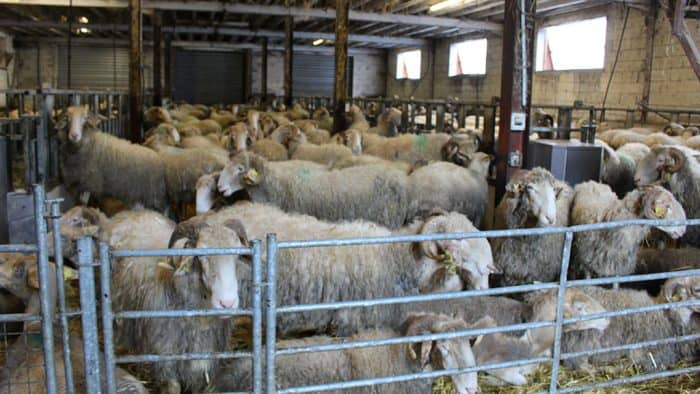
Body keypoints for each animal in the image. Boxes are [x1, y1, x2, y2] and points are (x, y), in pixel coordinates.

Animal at [112, 217, 249, 392]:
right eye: (201, 254)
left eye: (237, 256)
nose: (227, 303)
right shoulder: (165, 358)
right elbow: (173, 387)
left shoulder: (203, 360)